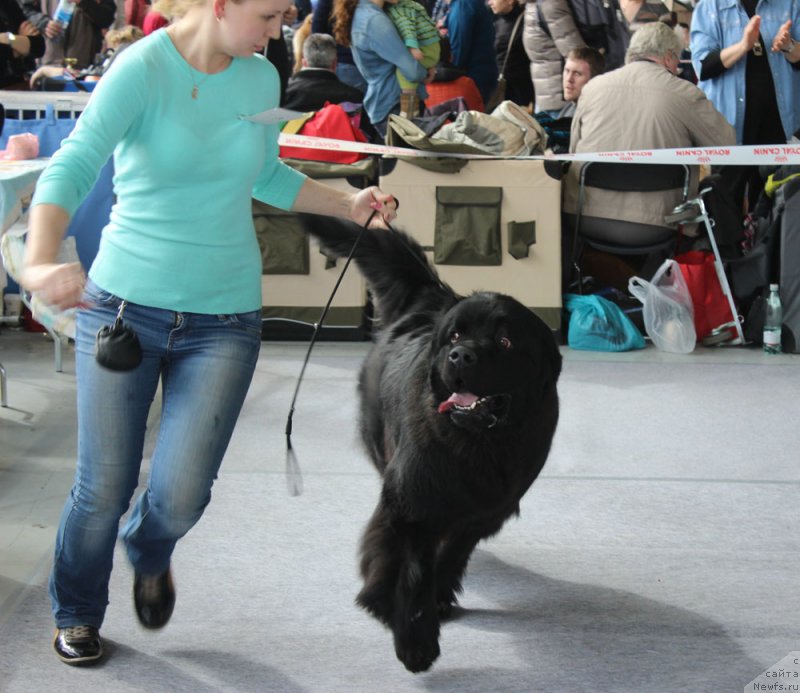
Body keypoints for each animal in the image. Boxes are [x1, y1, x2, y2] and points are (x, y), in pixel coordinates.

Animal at [300, 214, 564, 672]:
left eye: (506, 341)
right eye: (455, 336)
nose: (460, 355)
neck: (479, 445)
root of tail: (430, 297)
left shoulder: (487, 510)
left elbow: (451, 553)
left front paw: (437, 599)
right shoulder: (413, 500)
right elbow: (411, 567)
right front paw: (412, 635)